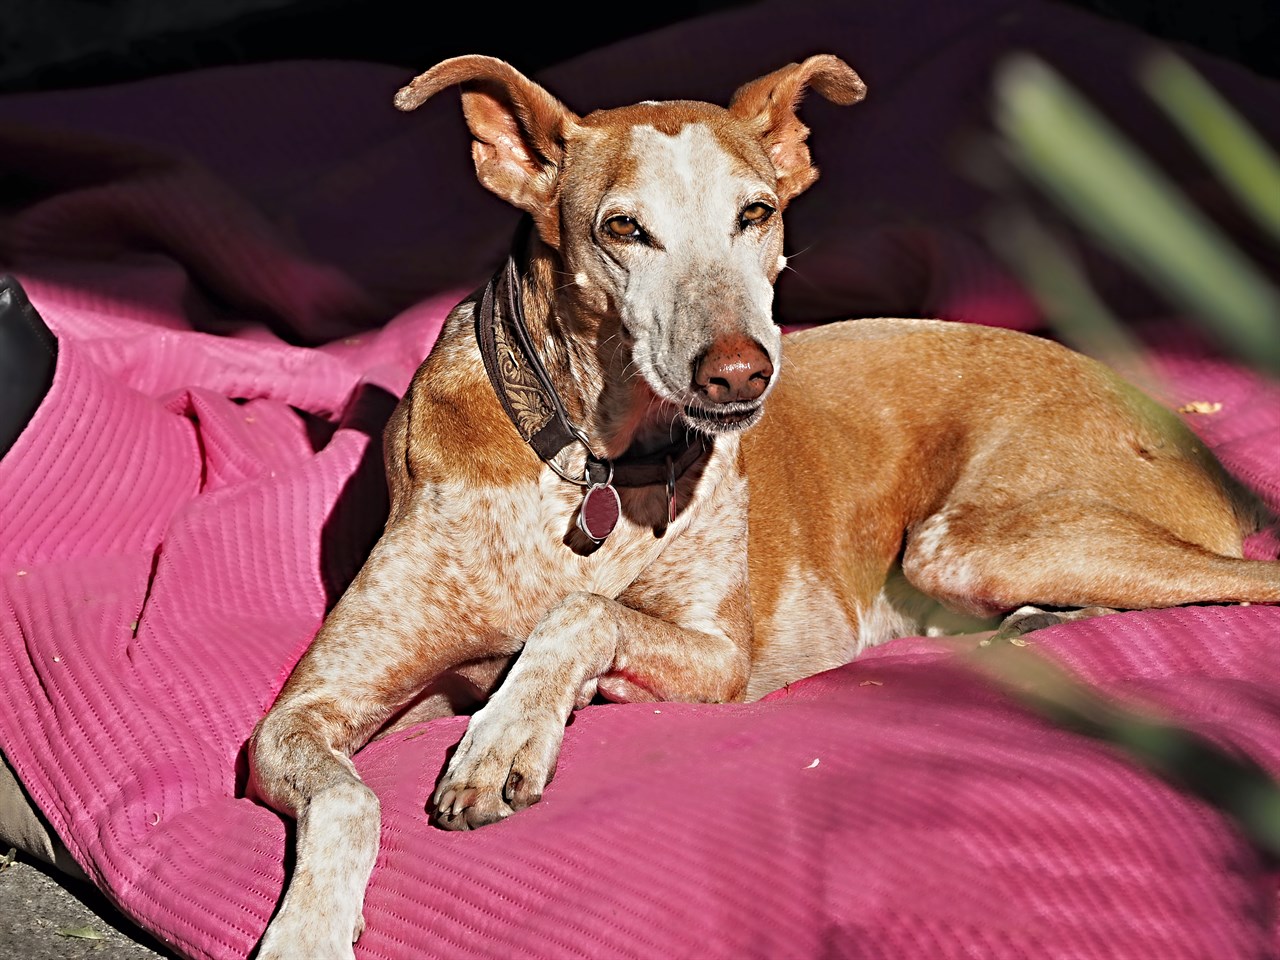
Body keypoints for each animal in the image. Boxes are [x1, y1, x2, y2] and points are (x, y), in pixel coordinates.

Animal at [244, 56, 1274, 957]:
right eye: (623, 229)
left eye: (757, 213)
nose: (739, 372)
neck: (590, 464)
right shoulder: (302, 714)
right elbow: (349, 794)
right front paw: (306, 932)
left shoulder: (718, 660)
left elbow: (585, 615)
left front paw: (507, 734)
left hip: (967, 543)